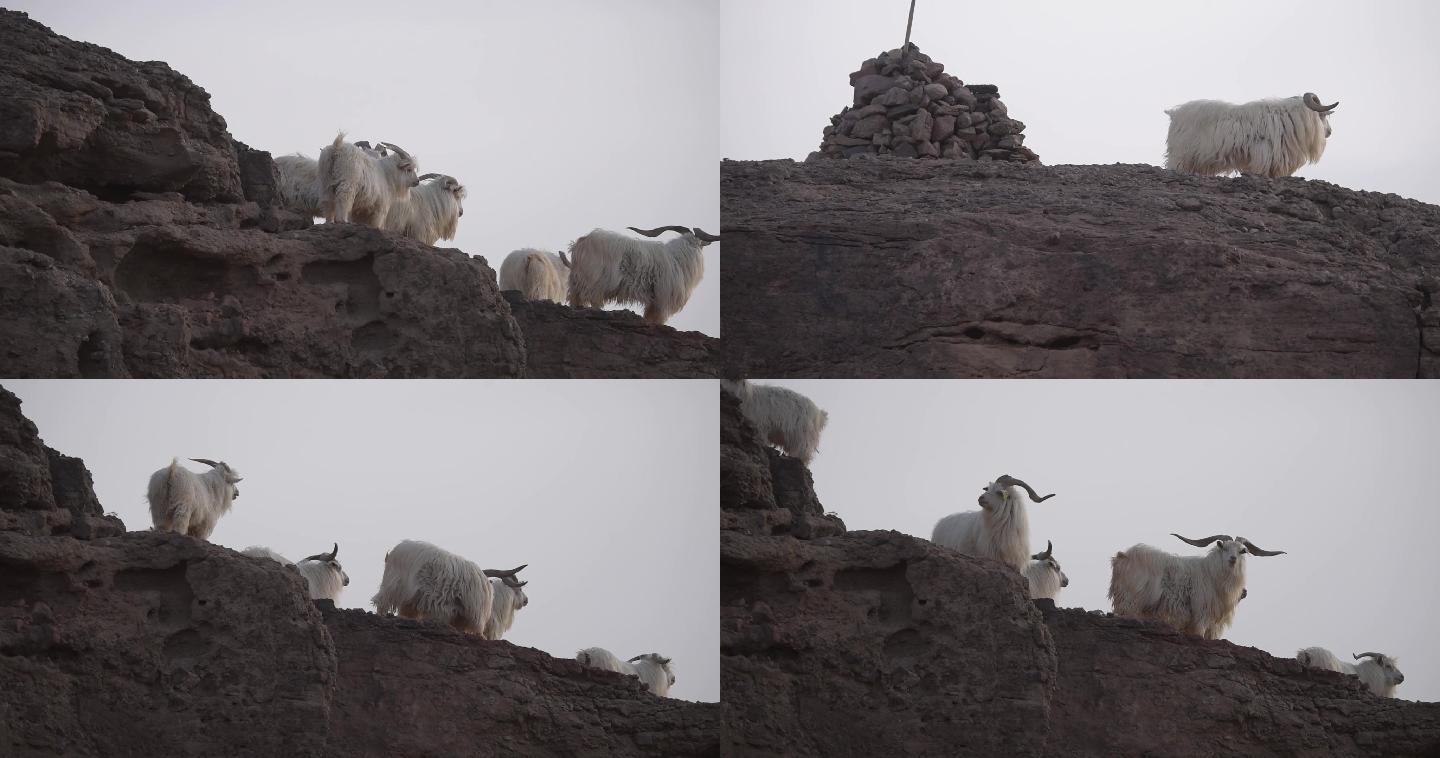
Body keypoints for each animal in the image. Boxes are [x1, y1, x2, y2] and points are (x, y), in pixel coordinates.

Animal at [371, 541, 529, 642]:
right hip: (393, 587)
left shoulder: (457, 617)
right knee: (381, 604)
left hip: (409, 601)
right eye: (520, 588)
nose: (526, 600)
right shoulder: (477, 619)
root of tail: (393, 552)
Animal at [561, 223, 720, 324]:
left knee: (576, 301)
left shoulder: (653, 302)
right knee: (594, 301)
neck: (678, 258)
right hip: (595, 281)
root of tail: (581, 242)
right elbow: (657, 320)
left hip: (577, 283)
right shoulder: (663, 299)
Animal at [1105, 536, 1290, 642]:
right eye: (1223, 547)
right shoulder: (1201, 616)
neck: (1212, 574)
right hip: (1131, 600)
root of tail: (1122, 556)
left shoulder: (1213, 625)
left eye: (1242, 550)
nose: (1232, 559)